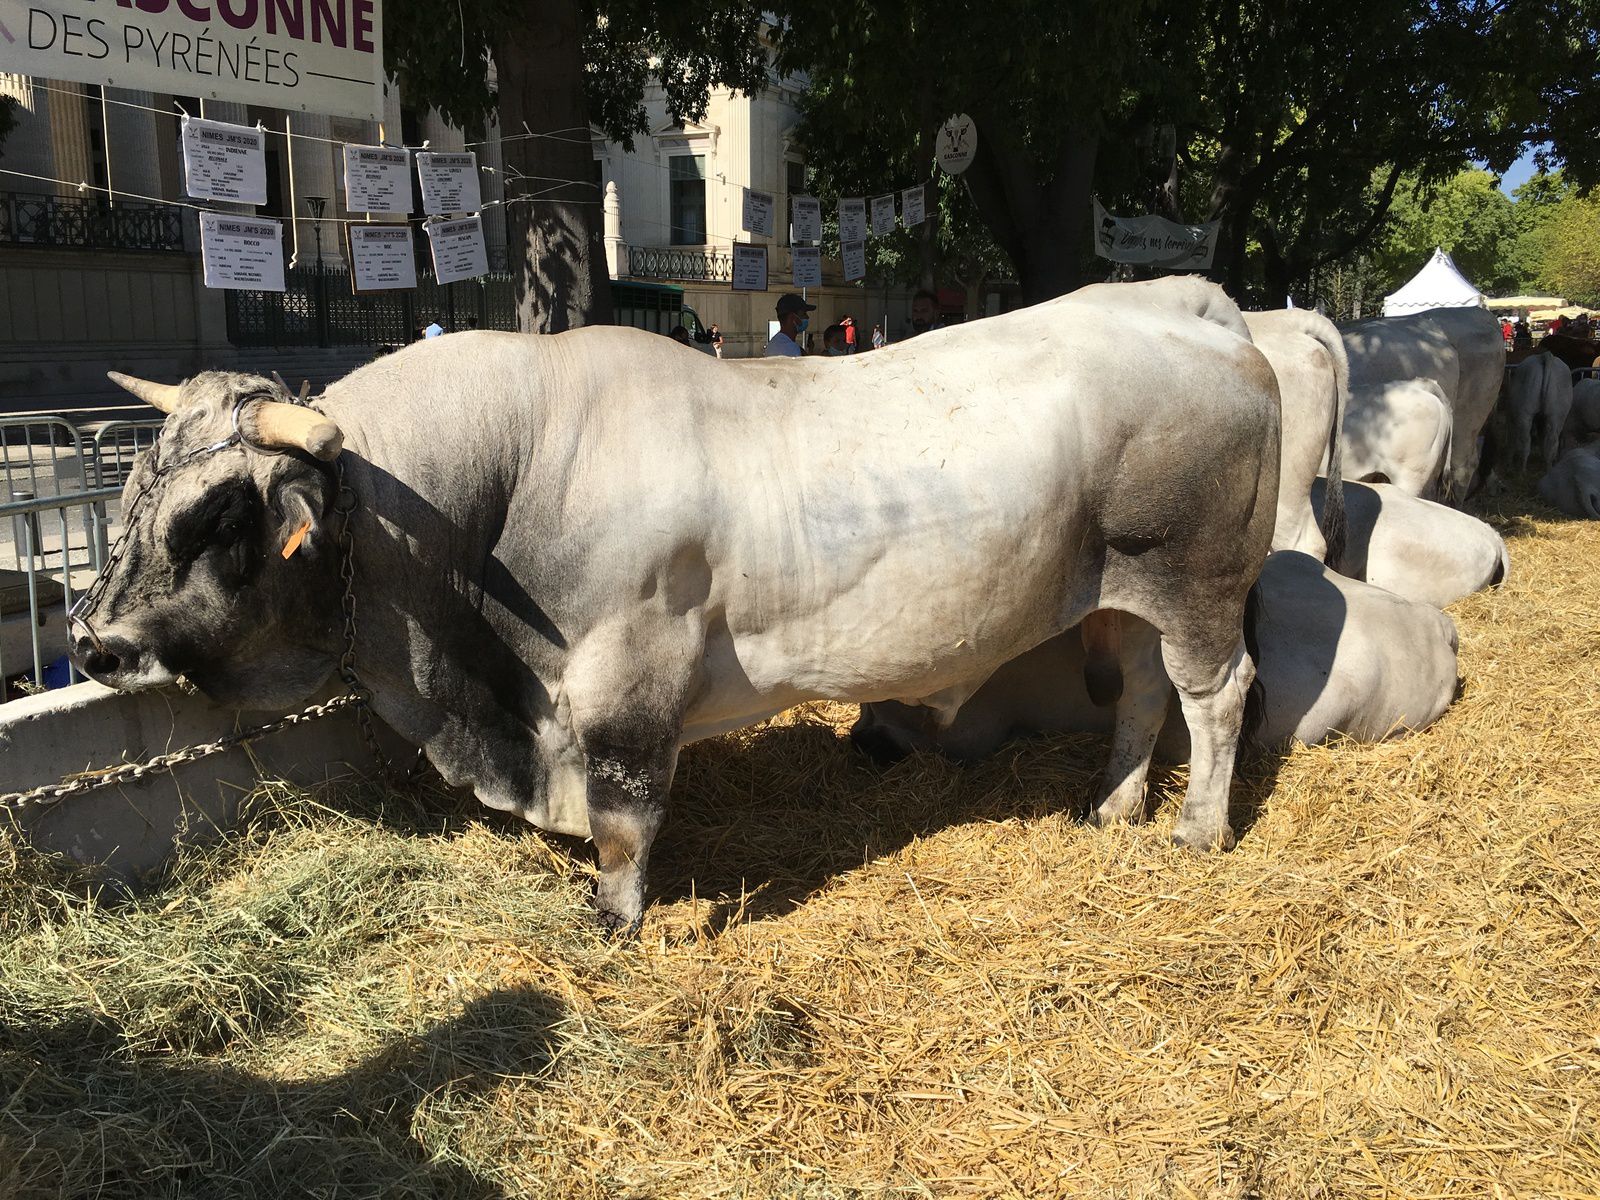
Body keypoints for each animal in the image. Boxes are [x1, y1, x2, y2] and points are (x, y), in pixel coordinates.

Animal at [75, 299, 1280, 928]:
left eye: (218, 513)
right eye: (130, 489)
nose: (92, 640)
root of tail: (1191, 310)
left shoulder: (626, 675)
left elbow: (624, 813)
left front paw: (616, 915)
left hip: (1198, 584)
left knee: (1218, 697)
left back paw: (1198, 829)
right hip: (1119, 597)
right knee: (1141, 696)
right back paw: (1113, 807)